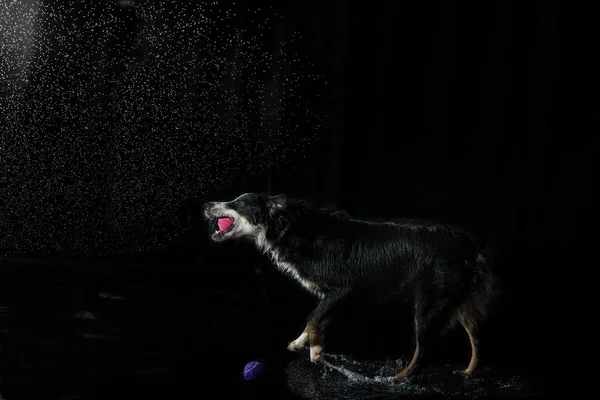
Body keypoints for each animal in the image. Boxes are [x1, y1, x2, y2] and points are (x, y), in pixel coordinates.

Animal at [204, 192, 494, 380]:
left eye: (239, 203)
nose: (207, 204)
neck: (291, 227)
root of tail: (472, 248)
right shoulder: (333, 297)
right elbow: (317, 320)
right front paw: (303, 344)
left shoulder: (344, 289)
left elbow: (313, 317)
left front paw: (315, 352)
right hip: (459, 304)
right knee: (476, 338)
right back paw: (469, 370)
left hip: (428, 306)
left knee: (424, 350)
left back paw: (399, 378)